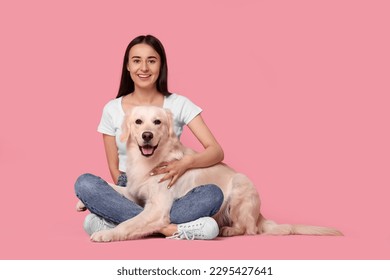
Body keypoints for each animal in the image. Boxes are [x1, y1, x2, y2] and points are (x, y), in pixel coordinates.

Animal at [89, 106, 342, 242]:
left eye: (157, 122)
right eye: (138, 122)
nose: (147, 135)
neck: (150, 160)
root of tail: (260, 215)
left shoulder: (157, 208)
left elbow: (130, 222)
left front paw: (107, 235)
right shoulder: (135, 192)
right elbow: (114, 188)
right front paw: (84, 204)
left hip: (240, 185)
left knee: (249, 229)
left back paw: (228, 229)